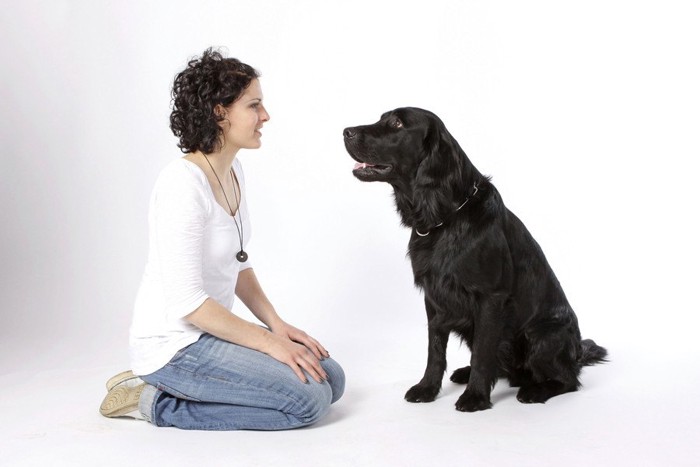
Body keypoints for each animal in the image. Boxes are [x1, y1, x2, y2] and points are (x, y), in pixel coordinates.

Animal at [344, 109, 608, 414]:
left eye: (397, 123)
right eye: (382, 118)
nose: (346, 132)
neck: (444, 219)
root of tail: (576, 351)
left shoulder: (490, 298)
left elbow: (483, 351)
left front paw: (476, 397)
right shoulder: (433, 297)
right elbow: (435, 350)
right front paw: (427, 388)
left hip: (541, 334)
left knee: (568, 379)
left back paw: (534, 390)